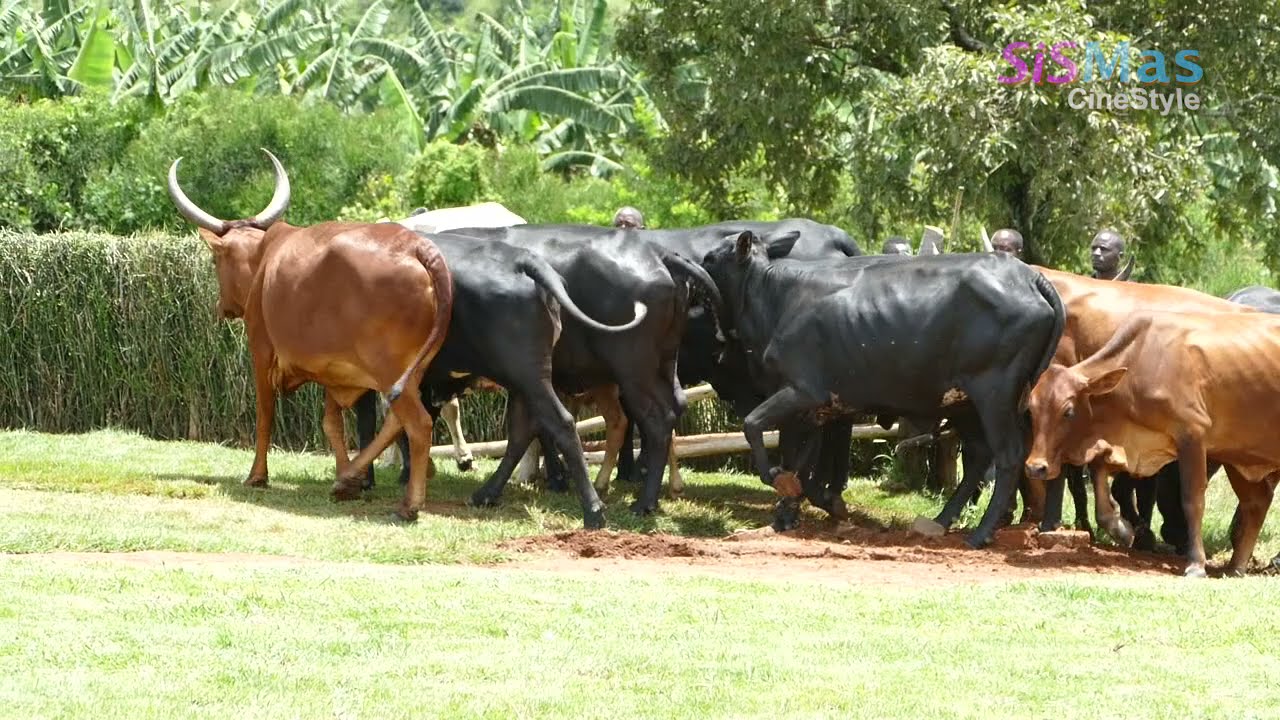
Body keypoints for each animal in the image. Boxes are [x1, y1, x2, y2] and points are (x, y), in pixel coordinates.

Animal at [166, 150, 453, 522]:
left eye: (215, 260)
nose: (222, 306)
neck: (264, 258)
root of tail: (418, 248)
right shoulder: (336, 372)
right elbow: (332, 423)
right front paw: (346, 475)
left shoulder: (261, 350)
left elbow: (265, 414)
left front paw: (257, 476)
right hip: (409, 371)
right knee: (395, 421)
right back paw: (349, 478)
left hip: (388, 369)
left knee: (418, 424)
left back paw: (410, 504)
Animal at [352, 232, 648, 528]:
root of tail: (523, 261)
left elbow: (380, 423)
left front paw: (366, 478)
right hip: (526, 379)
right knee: (524, 431)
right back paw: (487, 493)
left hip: (529, 374)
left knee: (563, 423)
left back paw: (594, 508)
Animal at [700, 231, 1065, 547]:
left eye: (710, 257)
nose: (695, 262)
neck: (776, 300)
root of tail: (1028, 276)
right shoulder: (814, 409)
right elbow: (800, 462)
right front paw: (789, 511)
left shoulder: (802, 391)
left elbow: (755, 427)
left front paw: (782, 486)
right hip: (966, 403)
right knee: (980, 456)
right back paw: (943, 520)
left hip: (994, 394)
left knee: (1008, 456)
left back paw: (981, 534)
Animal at [1024, 308, 1280, 577]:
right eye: (1031, 409)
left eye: (1068, 411)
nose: (1035, 467)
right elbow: (1100, 474)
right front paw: (1121, 529)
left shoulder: (1192, 435)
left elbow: (1192, 500)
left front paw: (1196, 564)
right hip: (1238, 455)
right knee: (1256, 503)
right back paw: (1235, 567)